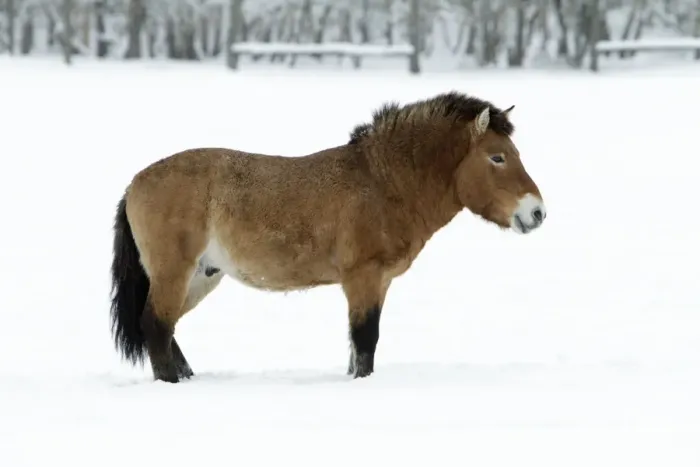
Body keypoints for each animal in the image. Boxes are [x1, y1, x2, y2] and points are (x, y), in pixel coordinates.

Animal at [109, 90, 547, 384]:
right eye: (497, 157)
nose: (537, 212)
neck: (383, 183)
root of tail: (133, 185)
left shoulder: (379, 282)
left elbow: (357, 347)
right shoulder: (362, 278)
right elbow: (365, 340)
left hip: (202, 276)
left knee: (165, 329)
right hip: (174, 273)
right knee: (156, 326)